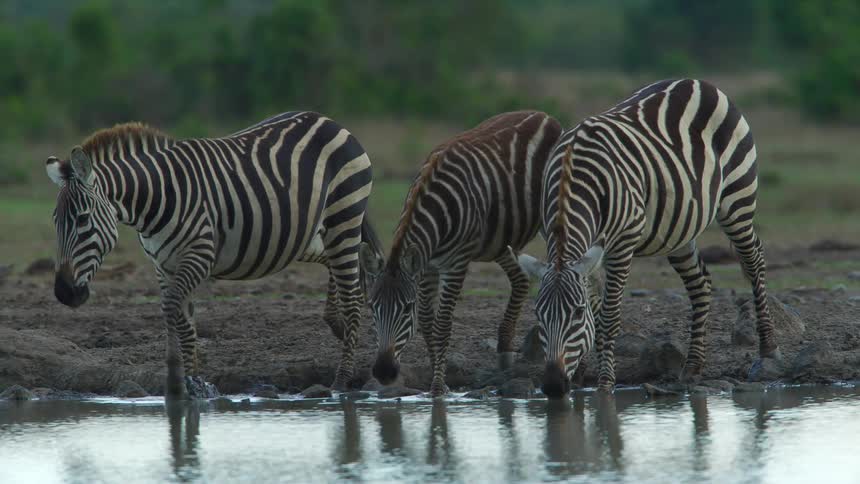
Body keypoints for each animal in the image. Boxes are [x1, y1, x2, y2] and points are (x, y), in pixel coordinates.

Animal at [45, 112, 381, 399]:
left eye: (82, 219)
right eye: (55, 222)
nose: (63, 293)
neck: (156, 199)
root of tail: (328, 120)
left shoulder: (198, 256)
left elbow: (173, 311)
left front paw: (186, 382)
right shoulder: (164, 265)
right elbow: (183, 321)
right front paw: (190, 382)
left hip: (344, 216)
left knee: (353, 296)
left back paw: (341, 380)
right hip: (309, 235)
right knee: (341, 266)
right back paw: (339, 325)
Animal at [360, 111, 562, 396]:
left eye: (406, 308)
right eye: (371, 307)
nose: (384, 372)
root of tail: (543, 115)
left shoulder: (456, 263)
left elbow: (443, 325)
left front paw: (437, 387)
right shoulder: (427, 266)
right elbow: (427, 322)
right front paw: (439, 380)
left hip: (549, 214)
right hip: (497, 239)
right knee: (521, 279)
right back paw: (504, 352)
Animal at [516, 79, 780, 398]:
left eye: (577, 314)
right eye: (537, 314)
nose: (554, 386)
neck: (572, 176)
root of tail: (696, 82)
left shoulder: (621, 244)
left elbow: (608, 317)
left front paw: (605, 384)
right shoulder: (581, 248)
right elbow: (595, 308)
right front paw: (579, 375)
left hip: (737, 199)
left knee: (754, 260)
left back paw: (768, 347)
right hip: (679, 227)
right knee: (700, 282)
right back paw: (693, 366)